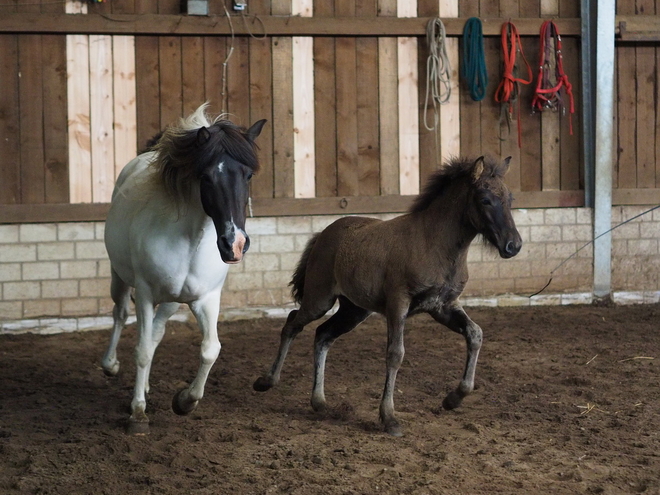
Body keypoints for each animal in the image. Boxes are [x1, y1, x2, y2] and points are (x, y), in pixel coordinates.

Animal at [101, 104, 266, 434]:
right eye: (206, 177)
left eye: (248, 174)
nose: (235, 244)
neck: (190, 241)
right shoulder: (146, 294)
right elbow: (140, 351)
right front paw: (138, 414)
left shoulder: (206, 299)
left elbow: (210, 349)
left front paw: (185, 401)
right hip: (120, 278)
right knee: (120, 314)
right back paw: (111, 366)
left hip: (171, 301)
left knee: (156, 333)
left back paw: (145, 387)